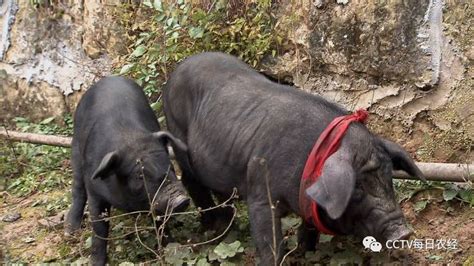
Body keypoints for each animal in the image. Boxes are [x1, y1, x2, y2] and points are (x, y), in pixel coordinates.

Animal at [65, 76, 191, 264]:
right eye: (139, 174)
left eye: (169, 164)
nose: (181, 200)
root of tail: (109, 78)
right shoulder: (95, 192)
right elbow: (99, 229)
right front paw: (96, 263)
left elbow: (160, 223)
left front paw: (169, 249)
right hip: (76, 148)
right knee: (78, 188)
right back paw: (70, 230)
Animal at [164, 53, 426, 264]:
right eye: (357, 188)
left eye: (389, 177)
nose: (404, 232)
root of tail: (177, 69)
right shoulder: (260, 193)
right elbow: (270, 243)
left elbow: (309, 226)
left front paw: (305, 252)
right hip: (179, 137)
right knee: (190, 181)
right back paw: (214, 228)